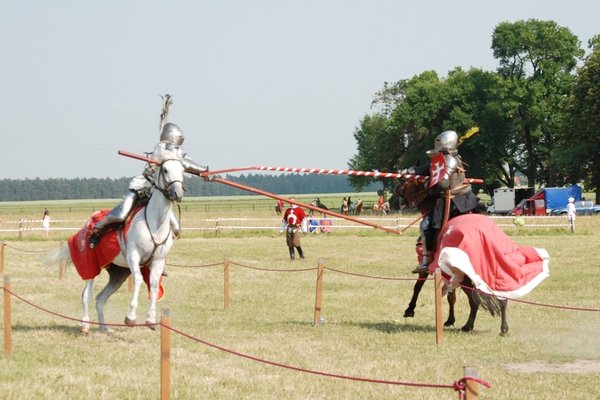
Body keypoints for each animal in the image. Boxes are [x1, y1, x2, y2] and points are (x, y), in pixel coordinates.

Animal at [45, 158, 185, 332]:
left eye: (182, 170)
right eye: (165, 170)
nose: (178, 193)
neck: (155, 223)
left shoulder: (157, 261)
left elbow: (153, 285)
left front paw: (151, 319)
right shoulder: (133, 256)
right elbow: (139, 279)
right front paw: (130, 317)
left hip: (118, 274)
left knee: (100, 298)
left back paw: (104, 328)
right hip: (90, 266)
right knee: (86, 294)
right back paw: (85, 324)